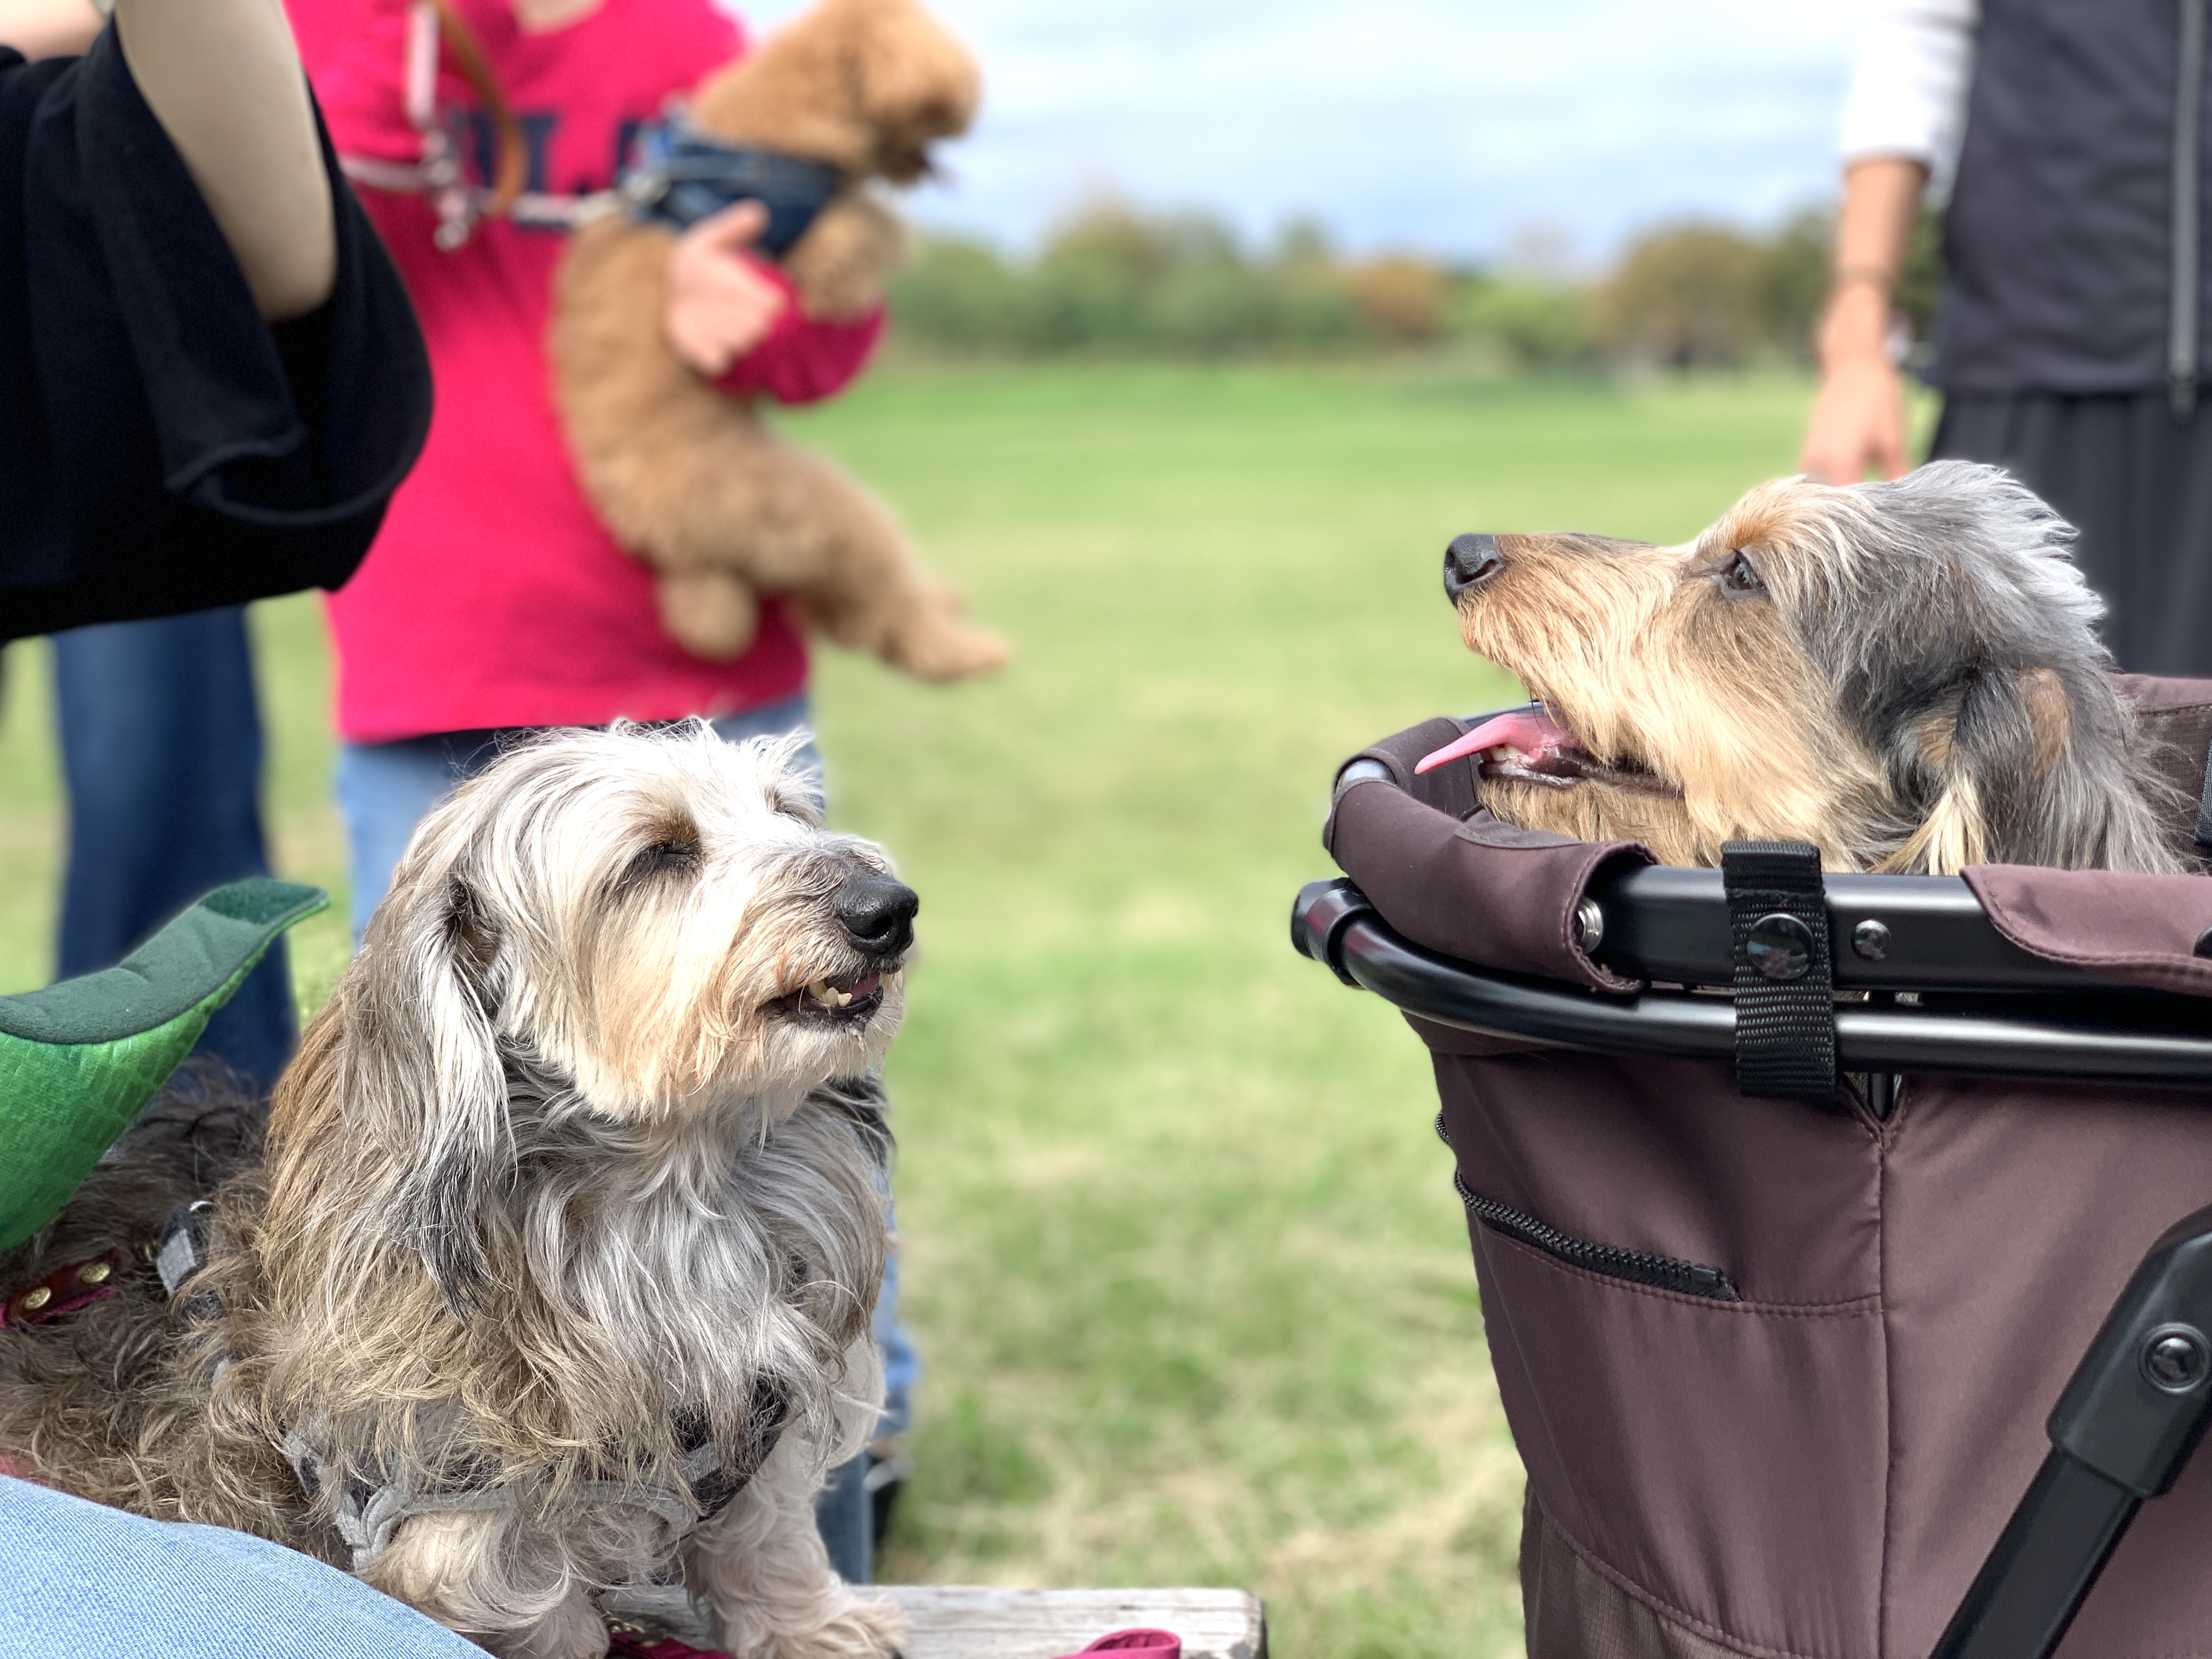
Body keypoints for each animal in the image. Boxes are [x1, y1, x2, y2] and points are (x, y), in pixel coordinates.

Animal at [2, 725, 916, 1659]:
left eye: (789, 813)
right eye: (660, 853)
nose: (890, 908)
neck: (670, 1201)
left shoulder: (753, 1442)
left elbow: (765, 1542)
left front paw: (817, 1629)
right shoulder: (461, 1536)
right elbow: (554, 1621)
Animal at [548, 0, 1008, 681]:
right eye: (935, 117)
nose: (936, 167)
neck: (772, 125)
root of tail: (675, 548)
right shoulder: (812, 240)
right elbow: (868, 227)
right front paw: (896, 236)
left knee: (849, 613)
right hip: (816, 513)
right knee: (880, 600)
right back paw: (966, 649)